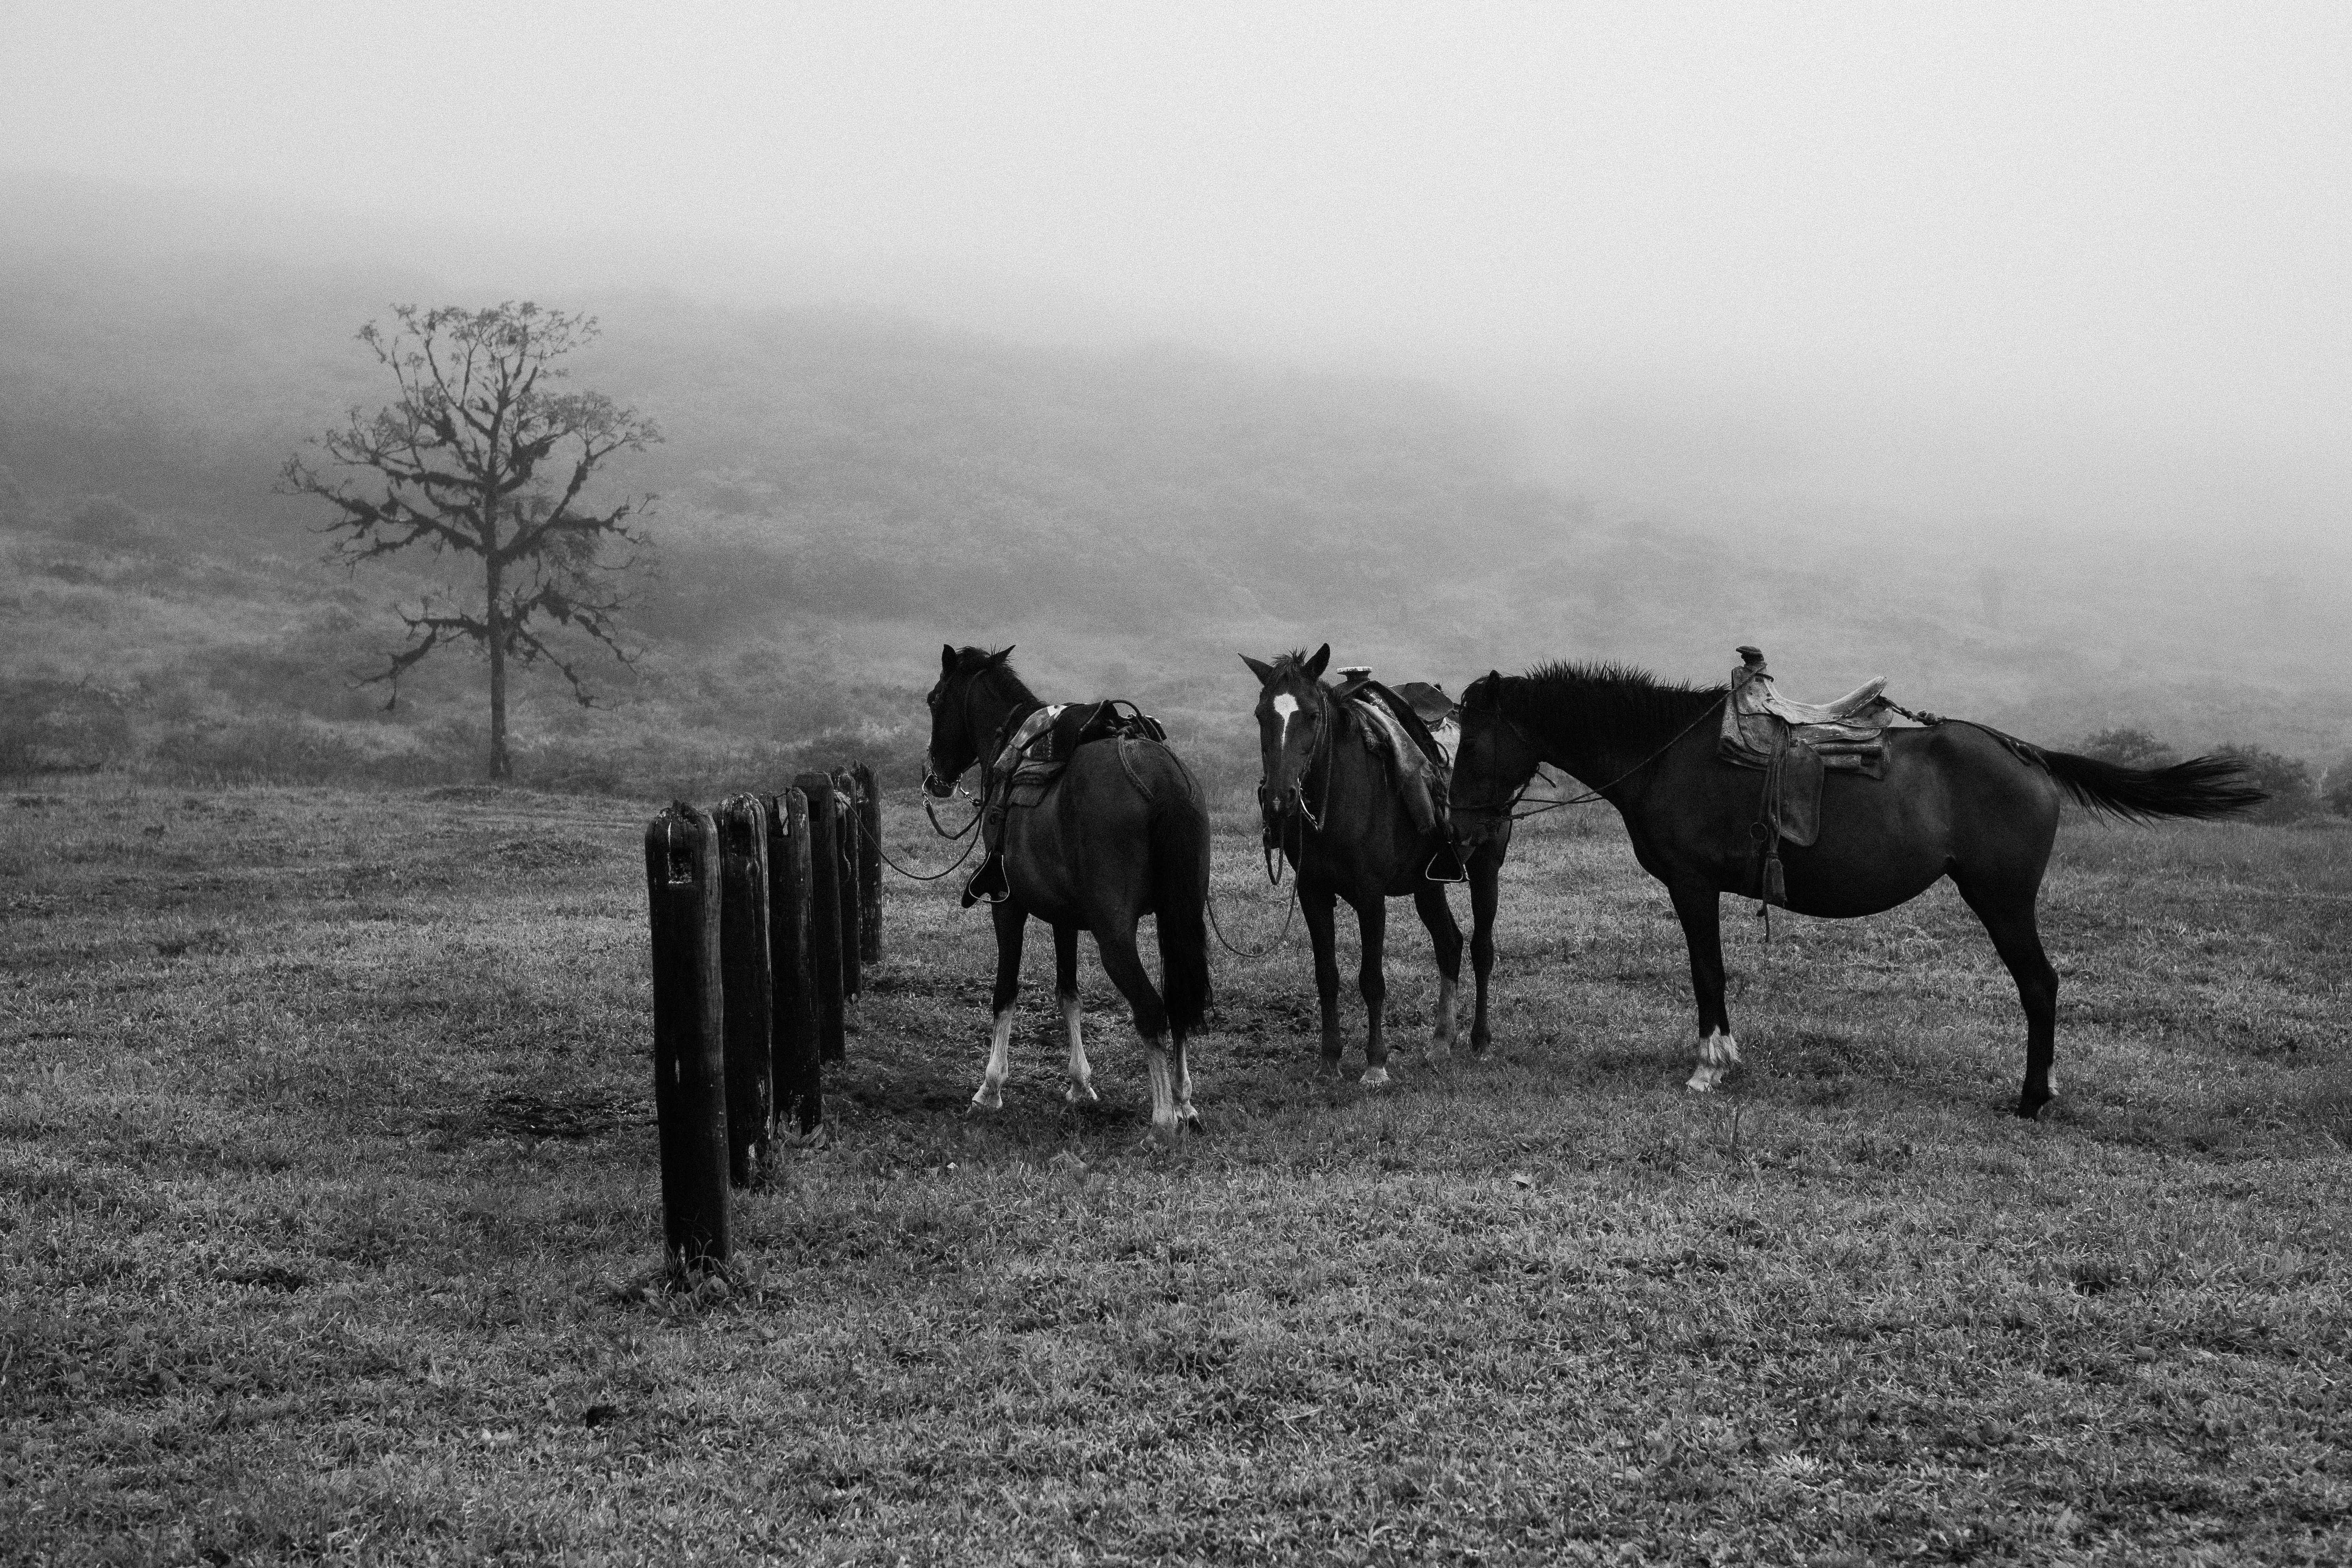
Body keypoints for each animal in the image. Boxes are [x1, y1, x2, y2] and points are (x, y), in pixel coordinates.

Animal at [922, 645, 1213, 1131]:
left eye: (933, 699)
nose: (934, 777)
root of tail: (1162, 781)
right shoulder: (1065, 916)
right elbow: (1069, 994)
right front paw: (1080, 1084)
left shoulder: (1007, 905)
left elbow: (1005, 994)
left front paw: (990, 1089)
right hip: (1179, 918)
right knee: (1178, 1004)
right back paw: (1184, 1101)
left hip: (1114, 935)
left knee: (1151, 1010)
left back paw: (1162, 1120)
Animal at [1242, 645, 1512, 1084]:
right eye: (1261, 715)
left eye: (1312, 715)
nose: (1280, 799)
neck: (1341, 795)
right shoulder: (1314, 893)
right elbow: (1327, 975)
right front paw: (1329, 1060)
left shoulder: (1371, 898)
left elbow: (1371, 979)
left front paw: (1375, 1064)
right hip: (1428, 884)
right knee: (1449, 944)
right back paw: (1441, 1041)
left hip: (1487, 869)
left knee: (1481, 949)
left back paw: (1480, 1041)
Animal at [1447, 660, 2263, 1117]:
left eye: (1474, 741)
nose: (1459, 829)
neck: (1663, 754)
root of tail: (2025, 754)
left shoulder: (1692, 885)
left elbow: (1707, 972)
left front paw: (1710, 1067)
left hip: (2001, 900)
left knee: (2040, 984)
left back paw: (2033, 1099)